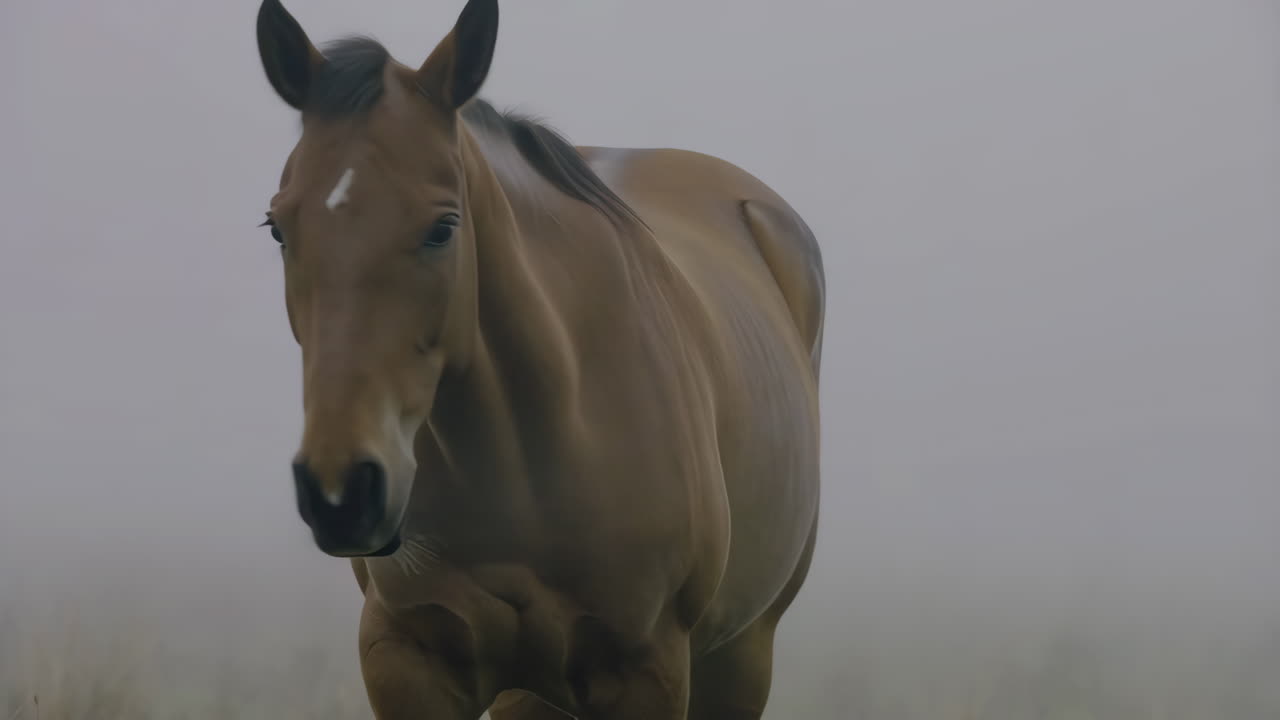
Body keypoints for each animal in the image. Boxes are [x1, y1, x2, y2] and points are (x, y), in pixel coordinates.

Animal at [254, 0, 826, 717]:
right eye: (278, 226)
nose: (341, 491)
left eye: (443, 228)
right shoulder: (406, 654)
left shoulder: (649, 669)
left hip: (743, 655)